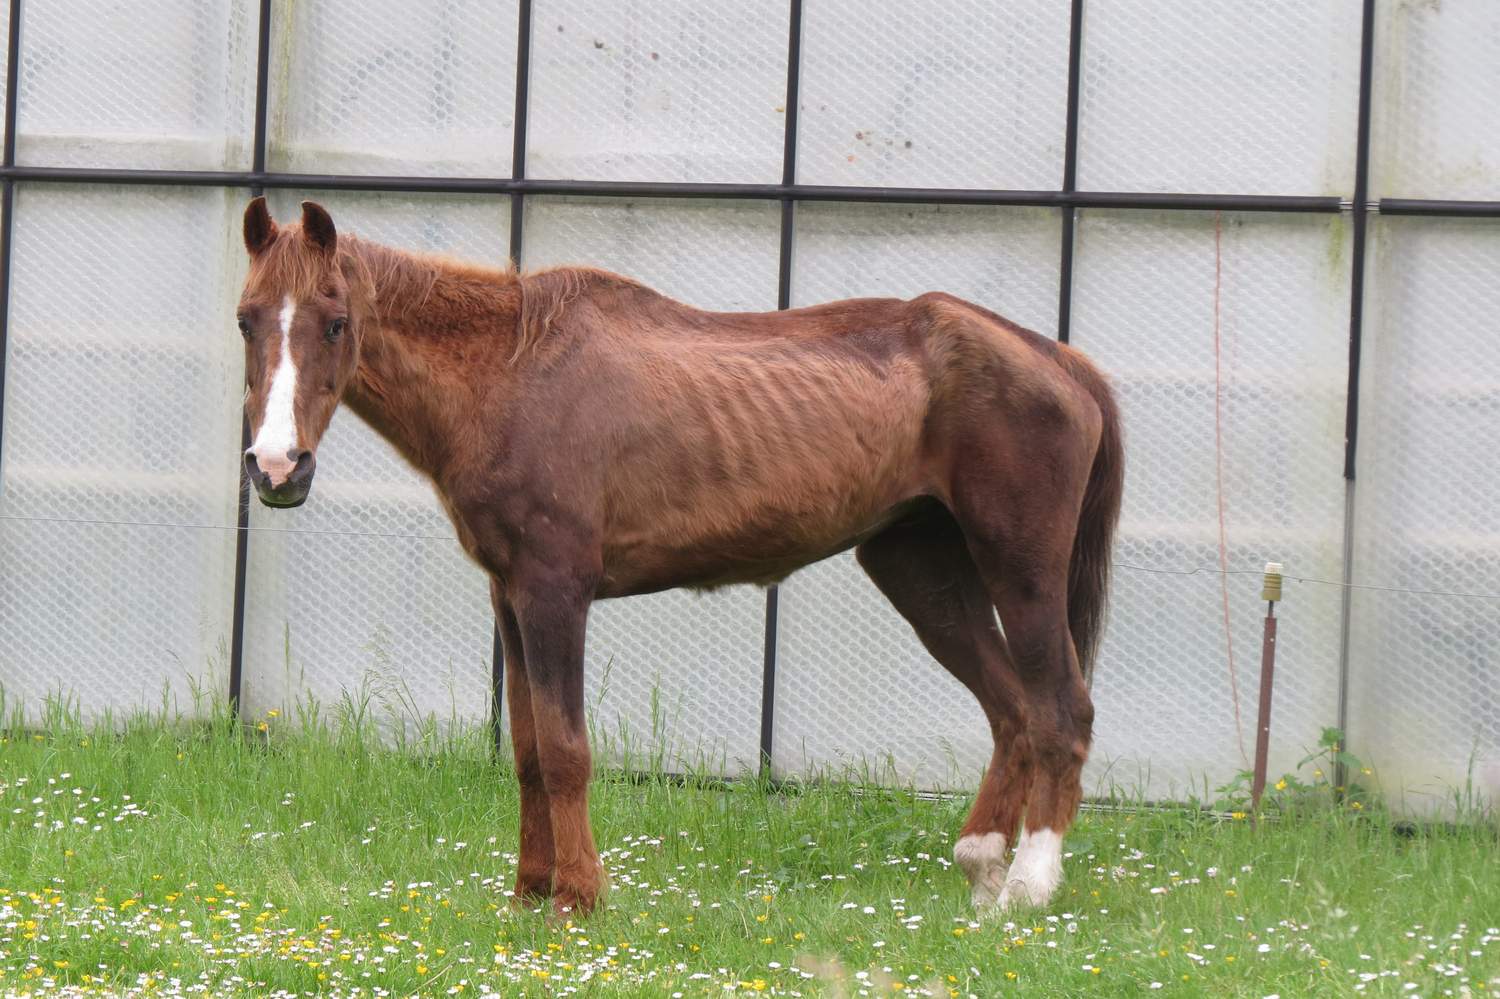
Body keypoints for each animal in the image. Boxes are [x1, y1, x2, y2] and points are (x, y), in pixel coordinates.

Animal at [236, 198, 1123, 918]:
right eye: (247, 318)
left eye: (335, 320)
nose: (277, 468)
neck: (510, 373)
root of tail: (1060, 359)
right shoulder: (510, 599)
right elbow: (528, 751)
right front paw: (528, 892)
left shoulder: (554, 594)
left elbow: (566, 752)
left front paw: (578, 899)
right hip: (919, 569)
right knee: (1011, 710)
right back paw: (982, 866)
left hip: (1021, 571)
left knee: (1060, 710)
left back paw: (1029, 884)